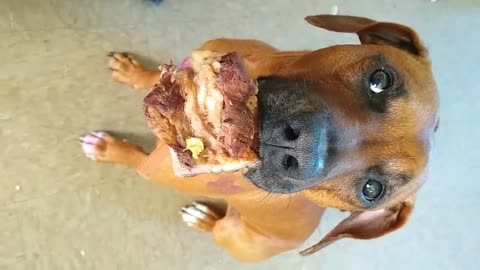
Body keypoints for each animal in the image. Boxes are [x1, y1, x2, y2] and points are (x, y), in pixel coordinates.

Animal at [81, 14, 438, 262]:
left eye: (371, 190)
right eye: (380, 80)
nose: (303, 147)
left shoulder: (158, 171)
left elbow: (133, 157)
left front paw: (108, 149)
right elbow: (156, 79)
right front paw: (133, 72)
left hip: (232, 234)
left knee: (219, 227)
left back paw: (203, 218)